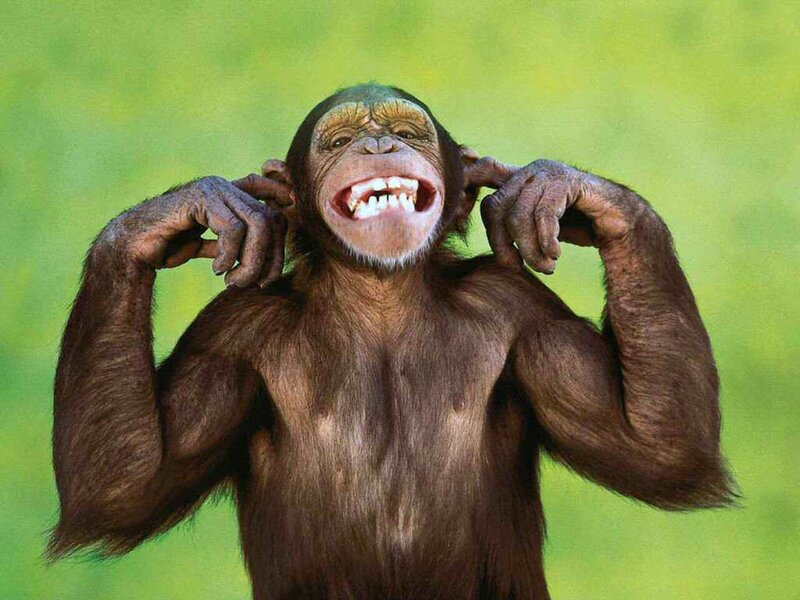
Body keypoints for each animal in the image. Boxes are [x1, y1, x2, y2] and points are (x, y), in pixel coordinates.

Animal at [49, 83, 735, 599]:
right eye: (338, 141)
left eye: (408, 132)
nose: (379, 143)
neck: (381, 299)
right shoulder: (229, 336)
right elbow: (124, 485)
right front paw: (185, 211)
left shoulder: (524, 313)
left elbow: (654, 449)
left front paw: (555, 188)